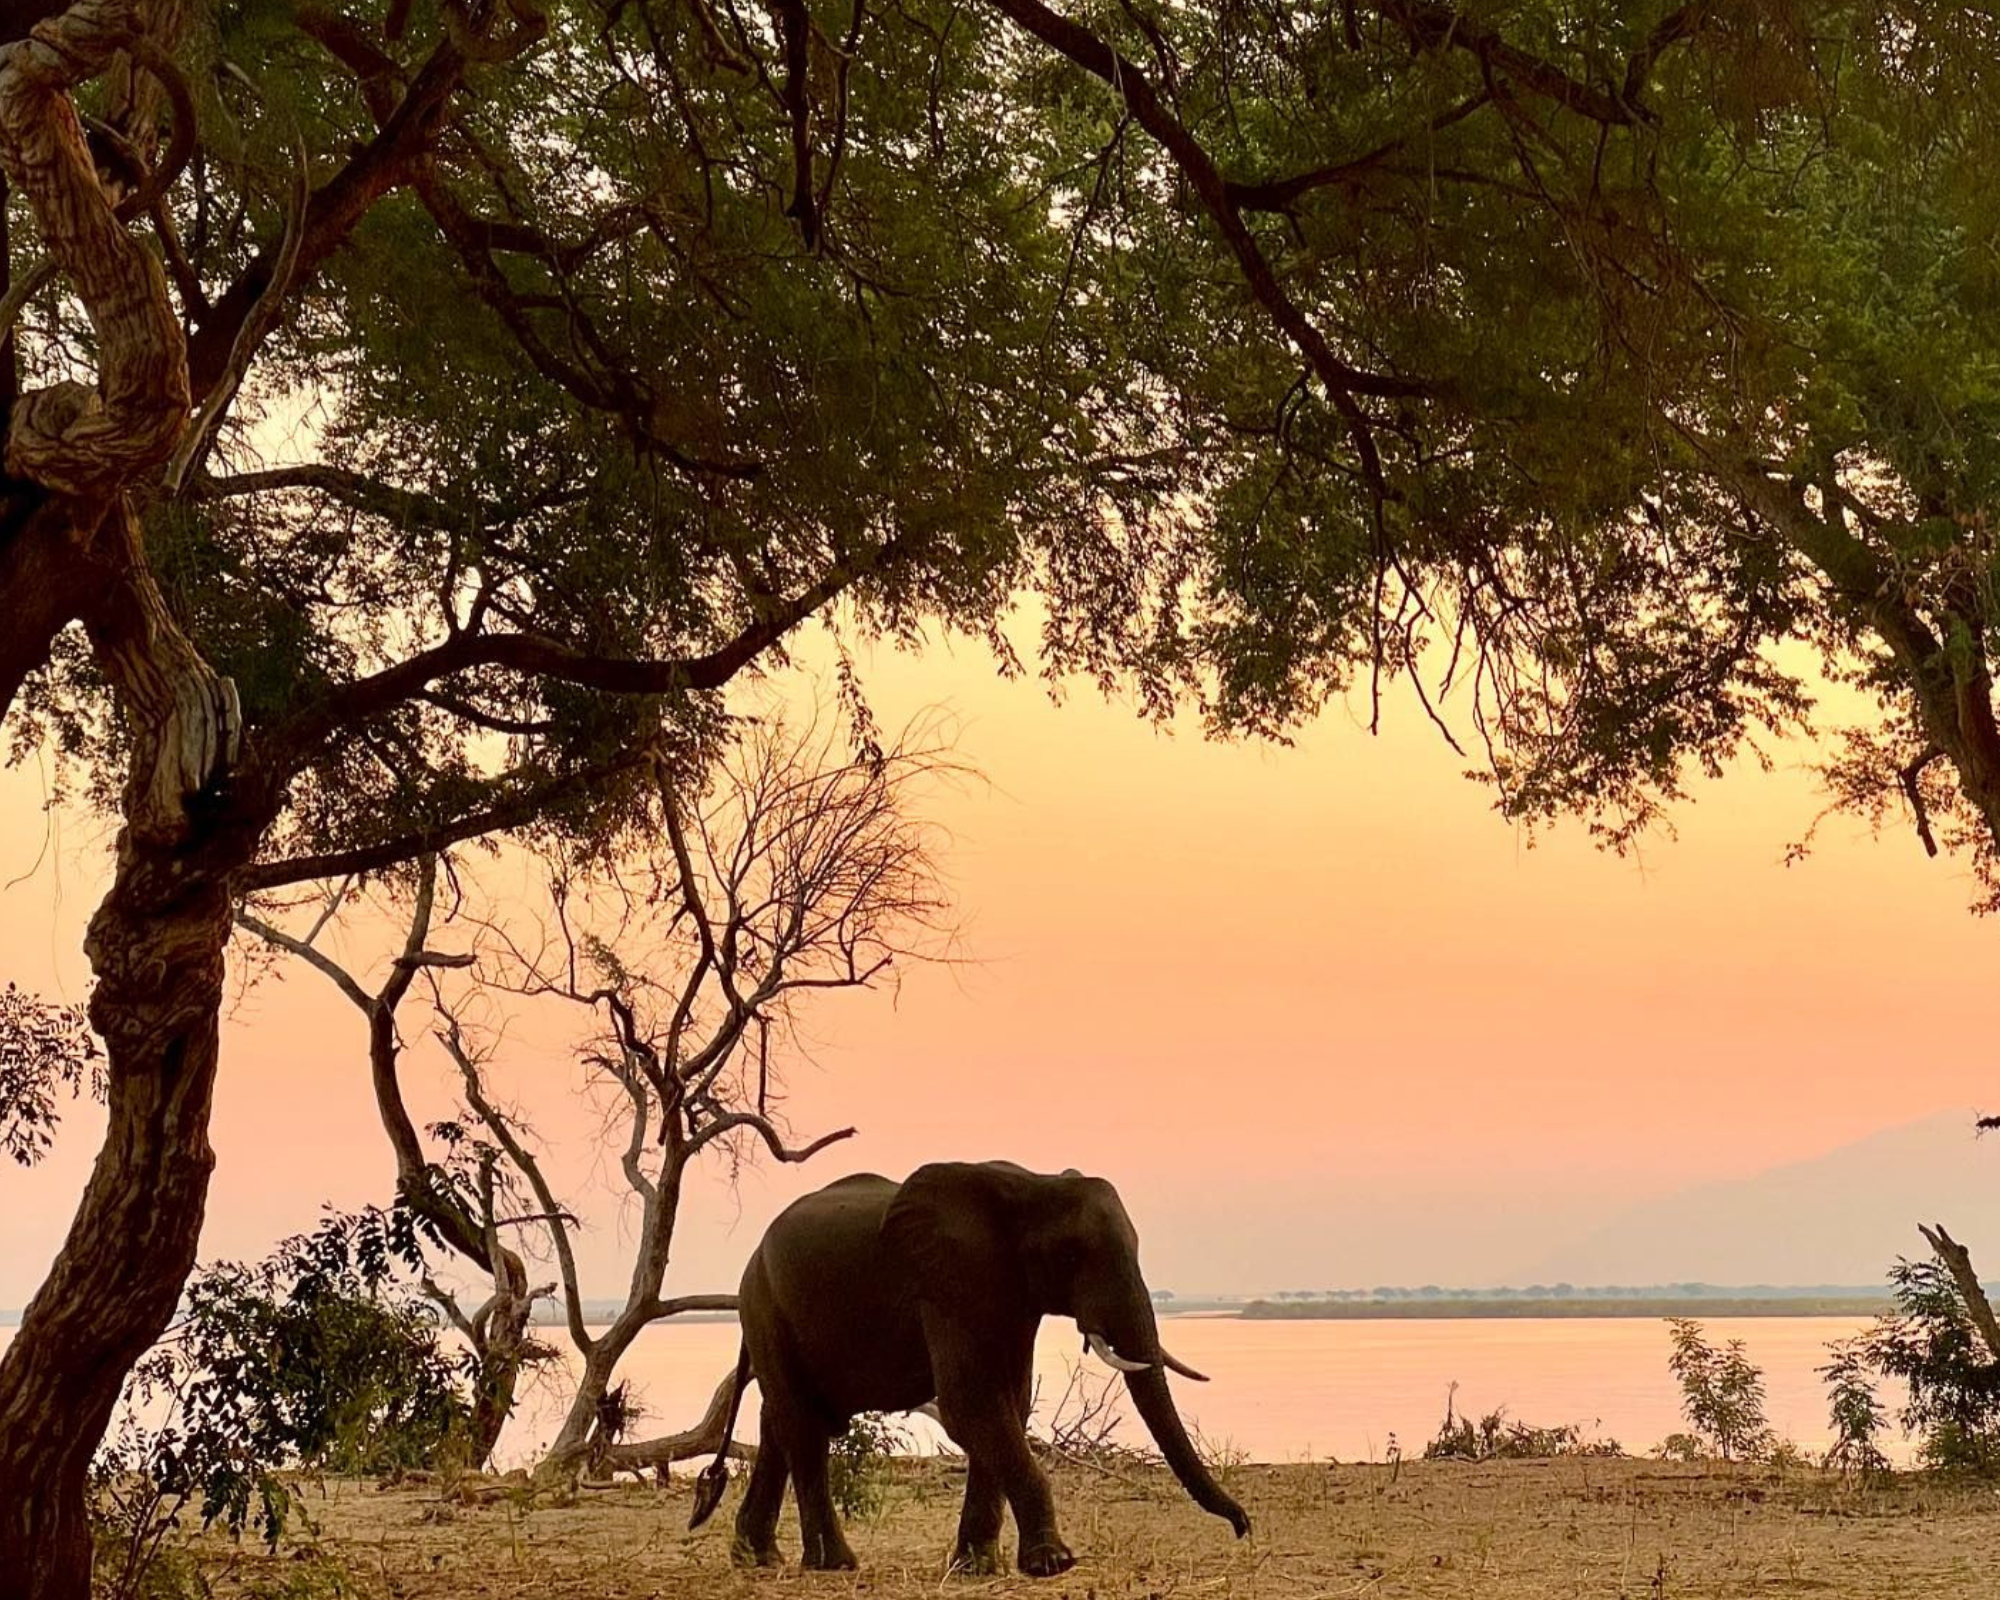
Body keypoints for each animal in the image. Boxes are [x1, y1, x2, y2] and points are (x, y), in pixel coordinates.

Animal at [692, 1160, 1248, 1584]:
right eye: (1071, 1255)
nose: (1243, 1526)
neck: (1033, 1184)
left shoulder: (1011, 1298)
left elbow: (1008, 1403)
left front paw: (977, 1568)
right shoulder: (946, 1285)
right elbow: (970, 1404)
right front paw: (1053, 1564)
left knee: (781, 1421)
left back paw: (759, 1558)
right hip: (764, 1303)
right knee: (803, 1424)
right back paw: (834, 1565)